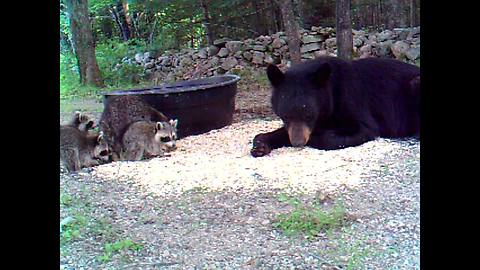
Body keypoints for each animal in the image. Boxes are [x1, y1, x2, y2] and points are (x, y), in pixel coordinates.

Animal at [251, 56, 420, 157]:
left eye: (309, 116)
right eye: (285, 116)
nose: (298, 143)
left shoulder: (352, 98)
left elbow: (364, 129)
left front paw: (317, 136)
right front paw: (260, 145)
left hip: (414, 84)